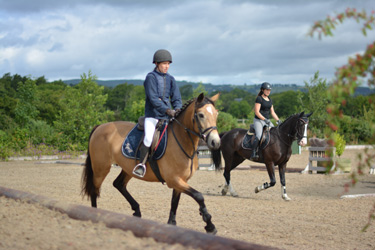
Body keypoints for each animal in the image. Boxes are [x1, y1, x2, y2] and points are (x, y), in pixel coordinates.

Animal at [80, 93, 220, 233]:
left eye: (216, 114)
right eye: (201, 115)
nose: (216, 142)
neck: (182, 140)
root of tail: (100, 126)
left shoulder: (181, 181)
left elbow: (175, 203)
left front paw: (172, 224)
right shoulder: (174, 180)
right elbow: (199, 196)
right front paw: (209, 225)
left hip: (127, 169)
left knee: (118, 184)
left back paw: (136, 210)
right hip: (101, 168)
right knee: (94, 189)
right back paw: (94, 214)